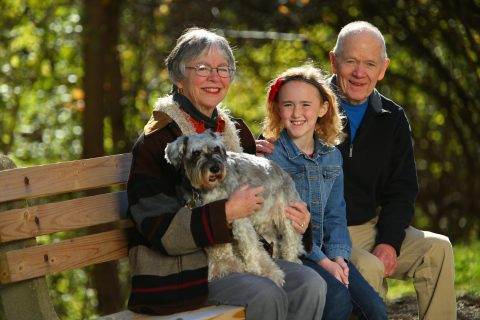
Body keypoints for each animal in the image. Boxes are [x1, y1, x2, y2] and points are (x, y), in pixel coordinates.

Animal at [165, 131, 306, 286]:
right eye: (196, 153)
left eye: (217, 149)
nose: (215, 168)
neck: (207, 190)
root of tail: (283, 172)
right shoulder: (216, 221)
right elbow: (220, 246)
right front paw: (225, 266)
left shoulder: (240, 218)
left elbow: (249, 246)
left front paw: (256, 270)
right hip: (264, 223)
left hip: (288, 217)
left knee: (291, 242)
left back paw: (291, 259)